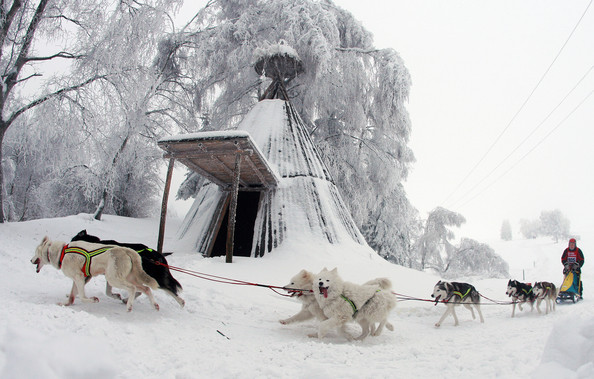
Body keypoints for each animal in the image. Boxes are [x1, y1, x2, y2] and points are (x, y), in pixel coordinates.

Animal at [30, 236, 160, 314]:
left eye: (35, 251)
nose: (30, 260)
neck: (62, 253)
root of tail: (127, 250)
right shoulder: (78, 279)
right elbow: (72, 296)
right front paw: (65, 304)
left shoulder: (79, 277)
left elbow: (83, 297)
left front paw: (93, 299)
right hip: (128, 278)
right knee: (146, 289)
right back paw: (154, 305)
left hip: (113, 279)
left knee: (132, 288)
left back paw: (129, 305)